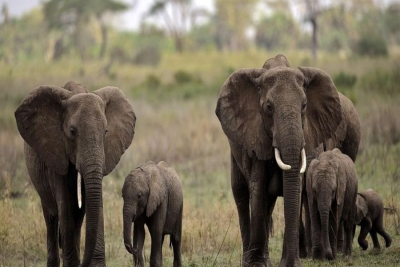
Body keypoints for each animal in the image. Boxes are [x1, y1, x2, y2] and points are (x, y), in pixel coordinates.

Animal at [14, 80, 136, 266]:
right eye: (72, 132)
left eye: (106, 132)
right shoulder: (56, 153)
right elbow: (64, 208)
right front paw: (72, 262)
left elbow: (96, 204)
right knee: (52, 217)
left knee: (77, 219)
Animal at [216, 53, 362, 266]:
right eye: (268, 107)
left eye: (304, 105)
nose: (293, 261)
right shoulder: (255, 136)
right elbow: (258, 189)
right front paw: (257, 264)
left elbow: (296, 188)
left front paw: (288, 263)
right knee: (241, 192)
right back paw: (249, 260)